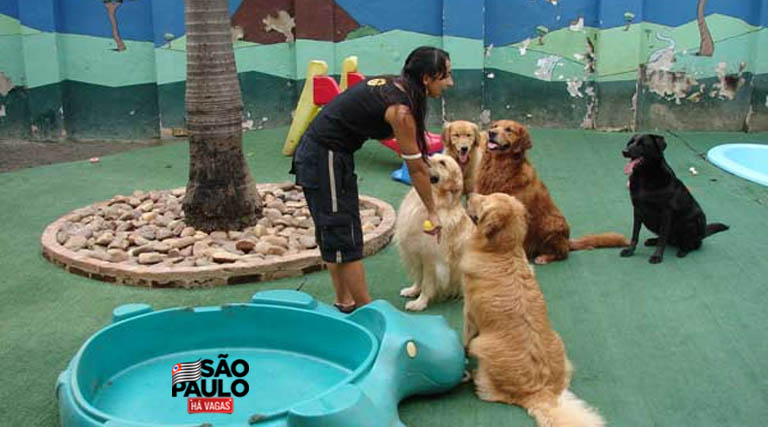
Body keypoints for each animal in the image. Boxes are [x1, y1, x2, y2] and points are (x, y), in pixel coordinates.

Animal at [396, 154, 474, 310]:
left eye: (442, 163)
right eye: (433, 156)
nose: (424, 157)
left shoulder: (431, 259)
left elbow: (426, 284)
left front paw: (419, 303)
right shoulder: (416, 253)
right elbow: (418, 277)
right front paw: (413, 290)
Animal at [462, 195, 608, 427]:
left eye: (484, 202)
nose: (469, 196)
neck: (504, 251)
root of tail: (540, 392)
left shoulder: (468, 309)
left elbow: (465, 337)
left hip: (482, 346)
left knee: (491, 391)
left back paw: (475, 374)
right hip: (559, 342)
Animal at [474, 118, 632, 264]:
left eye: (509, 130)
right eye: (494, 126)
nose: (491, 133)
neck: (499, 168)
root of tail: (567, 241)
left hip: (552, 224)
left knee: (562, 253)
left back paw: (544, 257)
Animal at [620, 134, 728, 262]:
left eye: (642, 144)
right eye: (630, 143)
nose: (624, 151)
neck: (644, 177)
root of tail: (703, 233)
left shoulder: (666, 213)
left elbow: (662, 237)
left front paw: (657, 256)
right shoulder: (637, 210)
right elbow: (635, 235)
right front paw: (630, 250)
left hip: (690, 223)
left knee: (693, 244)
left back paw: (683, 251)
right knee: (669, 240)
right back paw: (653, 241)